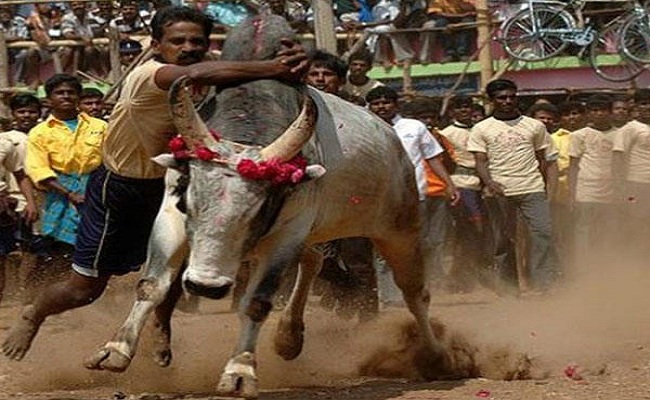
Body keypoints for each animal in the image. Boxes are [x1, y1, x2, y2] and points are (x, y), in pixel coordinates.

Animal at [83, 14, 448, 396]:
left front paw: (240, 371)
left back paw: (436, 356)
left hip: (400, 229)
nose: (205, 286)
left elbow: (256, 303)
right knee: (314, 262)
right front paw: (115, 350)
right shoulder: (169, 215)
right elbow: (152, 285)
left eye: (257, 212)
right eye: (189, 200)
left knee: (415, 294)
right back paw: (289, 337)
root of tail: (393, 138)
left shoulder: (286, 234)